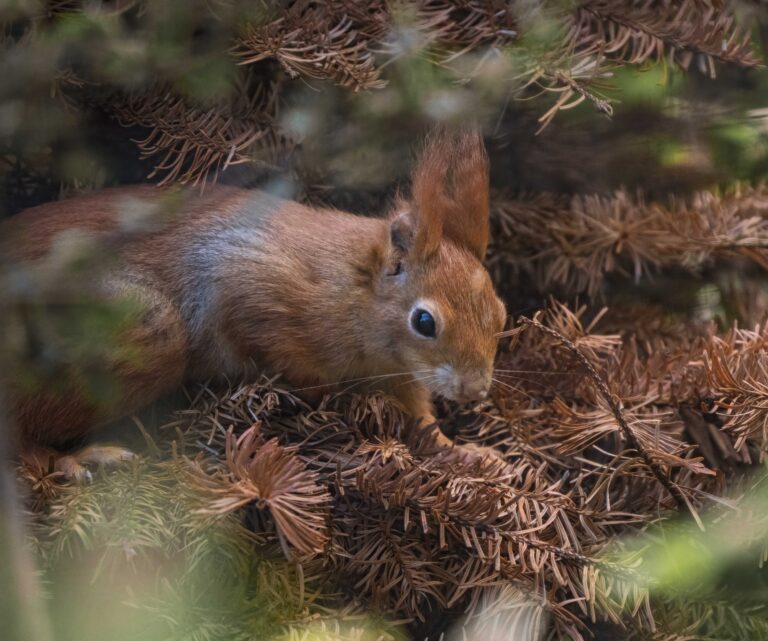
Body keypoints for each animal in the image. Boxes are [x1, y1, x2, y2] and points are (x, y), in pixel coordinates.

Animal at [1, 129, 507, 477]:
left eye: (500, 315)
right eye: (424, 322)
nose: (475, 391)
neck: (354, 287)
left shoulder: (399, 374)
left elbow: (421, 420)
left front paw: (461, 451)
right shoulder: (247, 277)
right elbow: (272, 344)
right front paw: (324, 394)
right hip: (133, 326)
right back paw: (72, 459)